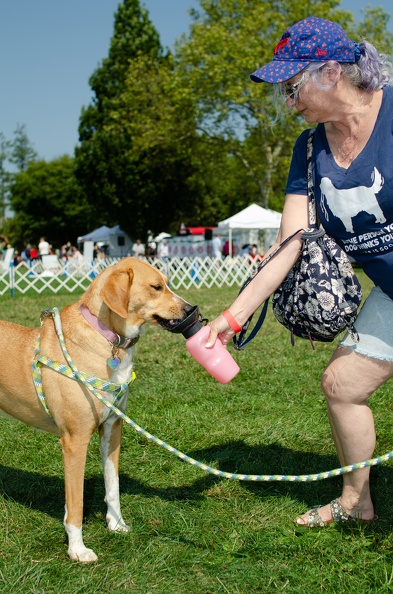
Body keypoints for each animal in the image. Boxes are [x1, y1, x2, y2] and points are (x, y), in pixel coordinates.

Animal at [0, 256, 191, 560]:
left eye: (167, 283)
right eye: (156, 287)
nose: (190, 309)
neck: (107, 339)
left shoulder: (112, 428)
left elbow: (112, 486)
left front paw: (116, 524)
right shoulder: (74, 440)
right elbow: (76, 503)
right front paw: (77, 549)